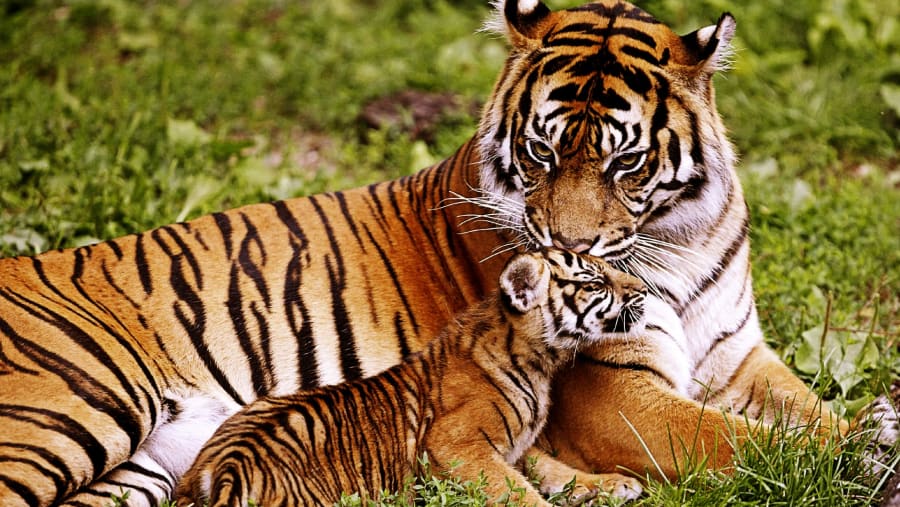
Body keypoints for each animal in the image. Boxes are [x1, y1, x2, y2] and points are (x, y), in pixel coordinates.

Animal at [173, 248, 647, 507]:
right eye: (596, 283)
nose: (642, 290)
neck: (541, 361)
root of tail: (227, 466)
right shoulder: (456, 444)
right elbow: (518, 491)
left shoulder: (519, 448)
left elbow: (554, 469)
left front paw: (615, 484)